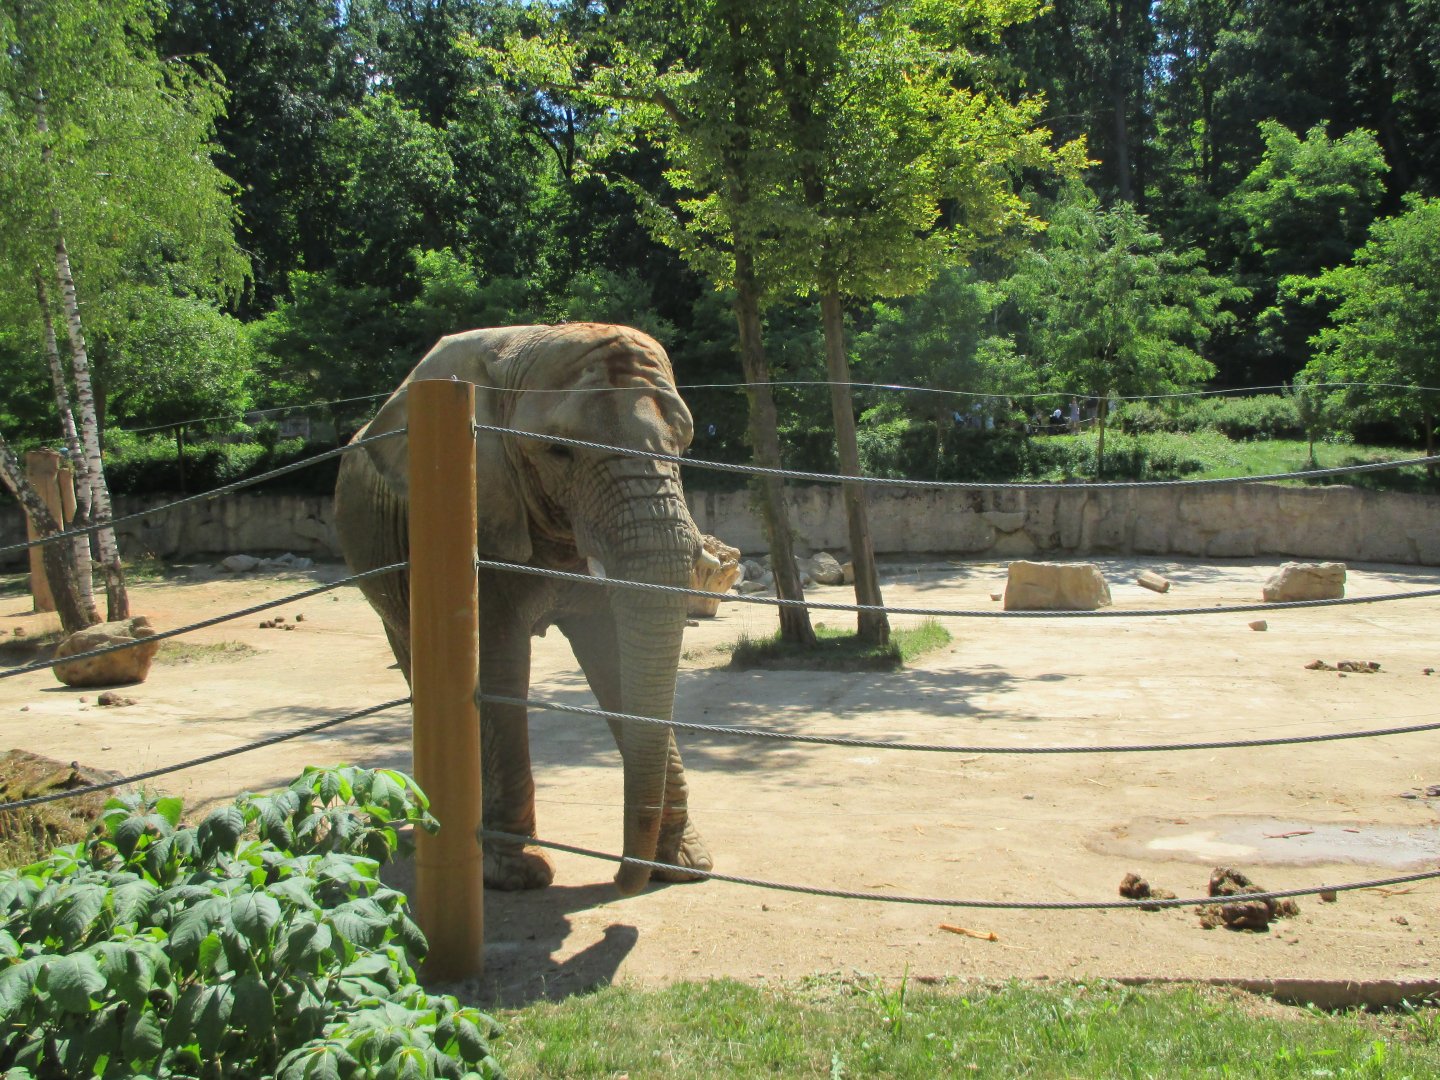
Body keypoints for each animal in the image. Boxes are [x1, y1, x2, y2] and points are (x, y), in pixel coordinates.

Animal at [334, 323, 714, 896]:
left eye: (684, 446)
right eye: (559, 452)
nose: (622, 881)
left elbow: (614, 661)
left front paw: (685, 867)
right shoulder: (480, 513)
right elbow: (499, 667)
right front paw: (518, 876)